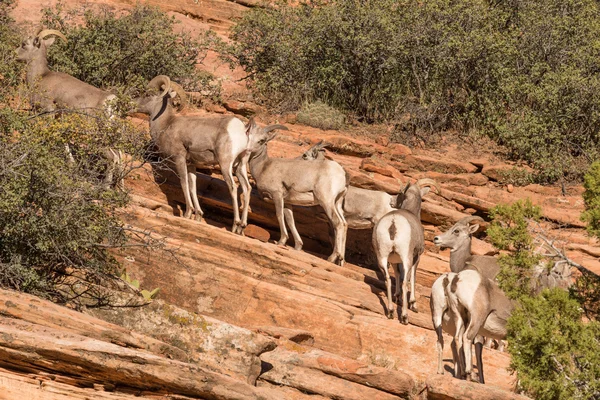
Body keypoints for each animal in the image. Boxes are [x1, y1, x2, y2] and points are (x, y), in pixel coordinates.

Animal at [136, 74, 282, 234]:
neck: (166, 124)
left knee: (233, 187)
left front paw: (188, 213)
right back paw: (241, 227)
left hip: (225, 164)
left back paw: (235, 224)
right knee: (247, 188)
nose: (134, 103)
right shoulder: (191, 165)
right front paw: (198, 216)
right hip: (240, 166)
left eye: (147, 94)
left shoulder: (179, 159)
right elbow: (192, 186)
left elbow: (184, 183)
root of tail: (242, 130)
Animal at [248, 130, 352, 266]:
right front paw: (298, 246)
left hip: (327, 202)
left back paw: (331, 258)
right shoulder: (287, 203)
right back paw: (340, 261)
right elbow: (290, 220)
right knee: (344, 224)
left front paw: (281, 241)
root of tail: (342, 173)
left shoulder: (277, 196)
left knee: (338, 223)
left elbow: (279, 216)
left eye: (305, 155)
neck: (263, 167)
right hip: (337, 203)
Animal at [372, 180, 438, 324]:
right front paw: (413, 304)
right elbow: (412, 277)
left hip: (382, 257)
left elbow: (397, 274)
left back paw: (391, 312)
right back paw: (404, 317)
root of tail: (393, 222)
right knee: (404, 282)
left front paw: (397, 297)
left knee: (387, 279)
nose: (391, 201)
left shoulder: (394, 260)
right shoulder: (416, 257)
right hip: (406, 257)